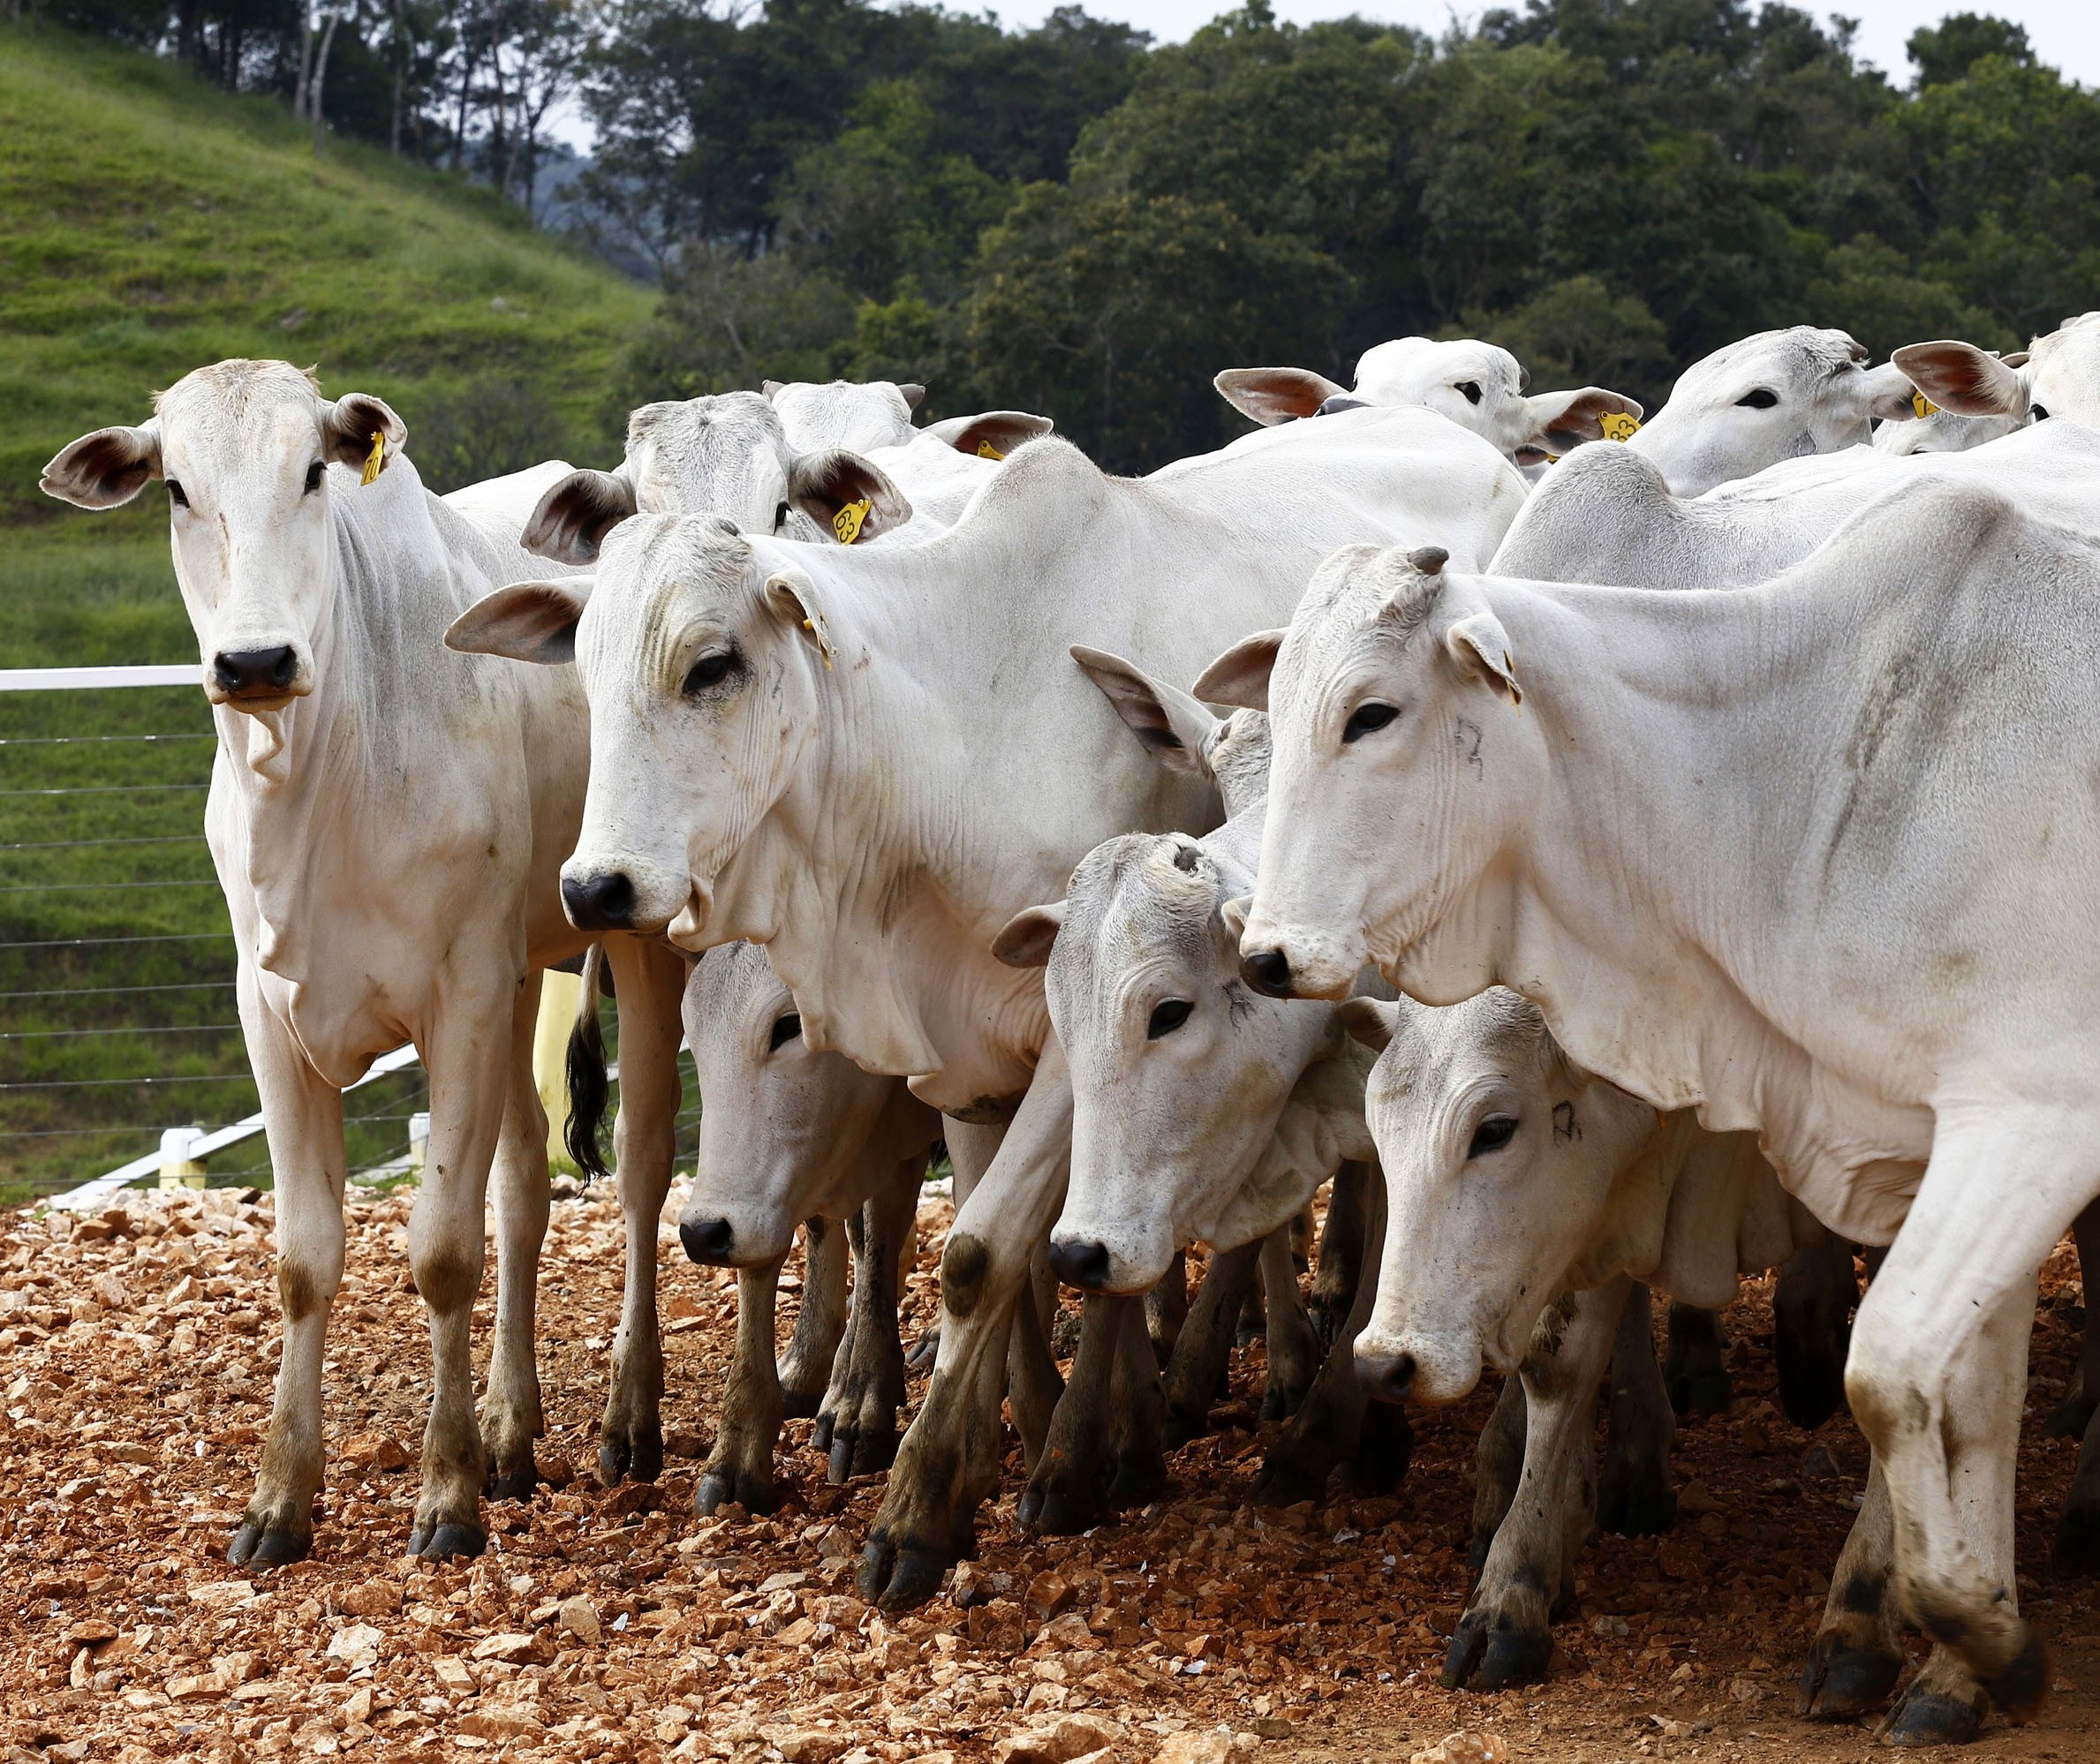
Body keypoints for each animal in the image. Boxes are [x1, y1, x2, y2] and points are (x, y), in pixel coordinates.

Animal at [42, 354, 688, 1554]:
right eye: (174, 488)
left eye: (312, 471)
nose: (254, 660)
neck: (320, 779)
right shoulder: (272, 1012)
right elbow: (307, 1260)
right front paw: (280, 1499)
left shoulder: (459, 998)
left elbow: (440, 1250)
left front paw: (443, 1496)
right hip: (522, 971)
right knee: (523, 1186)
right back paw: (511, 1432)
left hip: (632, 942)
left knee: (639, 1165)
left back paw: (628, 1419)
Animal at [447, 407, 1529, 1604]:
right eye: (584, 677)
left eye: (713, 665)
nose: (597, 888)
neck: (957, 723)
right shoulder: (961, 1054)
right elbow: (997, 1253)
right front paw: (1009, 1438)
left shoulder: (1080, 1046)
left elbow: (990, 1255)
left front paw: (946, 1502)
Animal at [1218, 489, 2100, 1746]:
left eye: (1370, 713)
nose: (1265, 955)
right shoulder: (1926, 1144)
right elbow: (1961, 1397)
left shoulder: (2029, 1122)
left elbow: (1887, 1374)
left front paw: (1964, 1642)